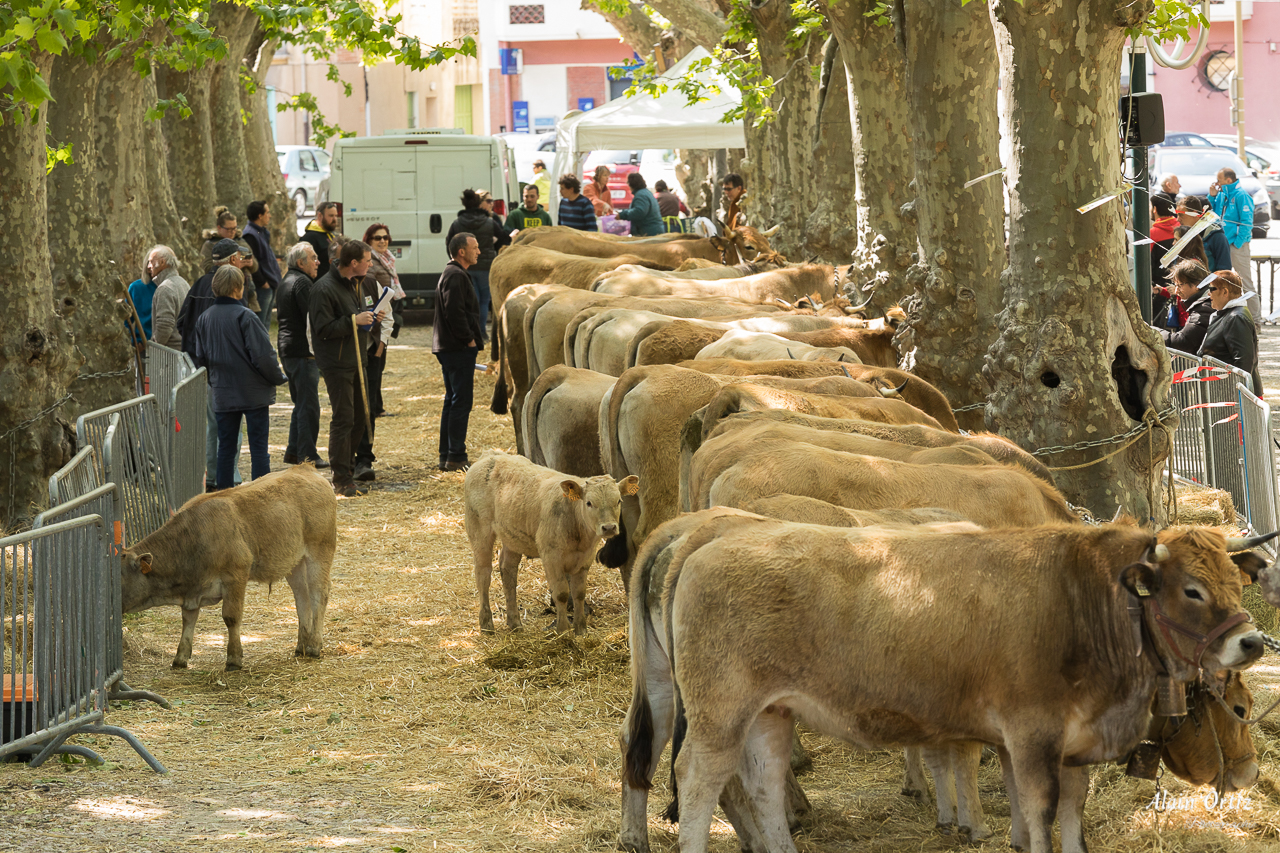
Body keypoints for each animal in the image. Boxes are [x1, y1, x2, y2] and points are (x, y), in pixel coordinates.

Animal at [118, 466, 337, 671]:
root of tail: (305, 467)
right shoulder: (192, 591)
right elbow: (188, 619)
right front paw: (180, 658)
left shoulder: (236, 575)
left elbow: (231, 617)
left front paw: (233, 659)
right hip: (295, 562)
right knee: (302, 597)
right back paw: (301, 646)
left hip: (319, 551)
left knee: (319, 593)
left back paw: (314, 646)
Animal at [463, 450, 637, 630]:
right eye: (589, 503)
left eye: (618, 501)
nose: (609, 527)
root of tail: (491, 454)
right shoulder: (551, 557)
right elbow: (561, 593)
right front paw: (563, 629)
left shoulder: (585, 559)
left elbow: (579, 593)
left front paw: (580, 628)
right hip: (479, 530)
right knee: (483, 573)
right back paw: (486, 624)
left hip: (512, 537)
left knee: (508, 570)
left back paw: (515, 622)